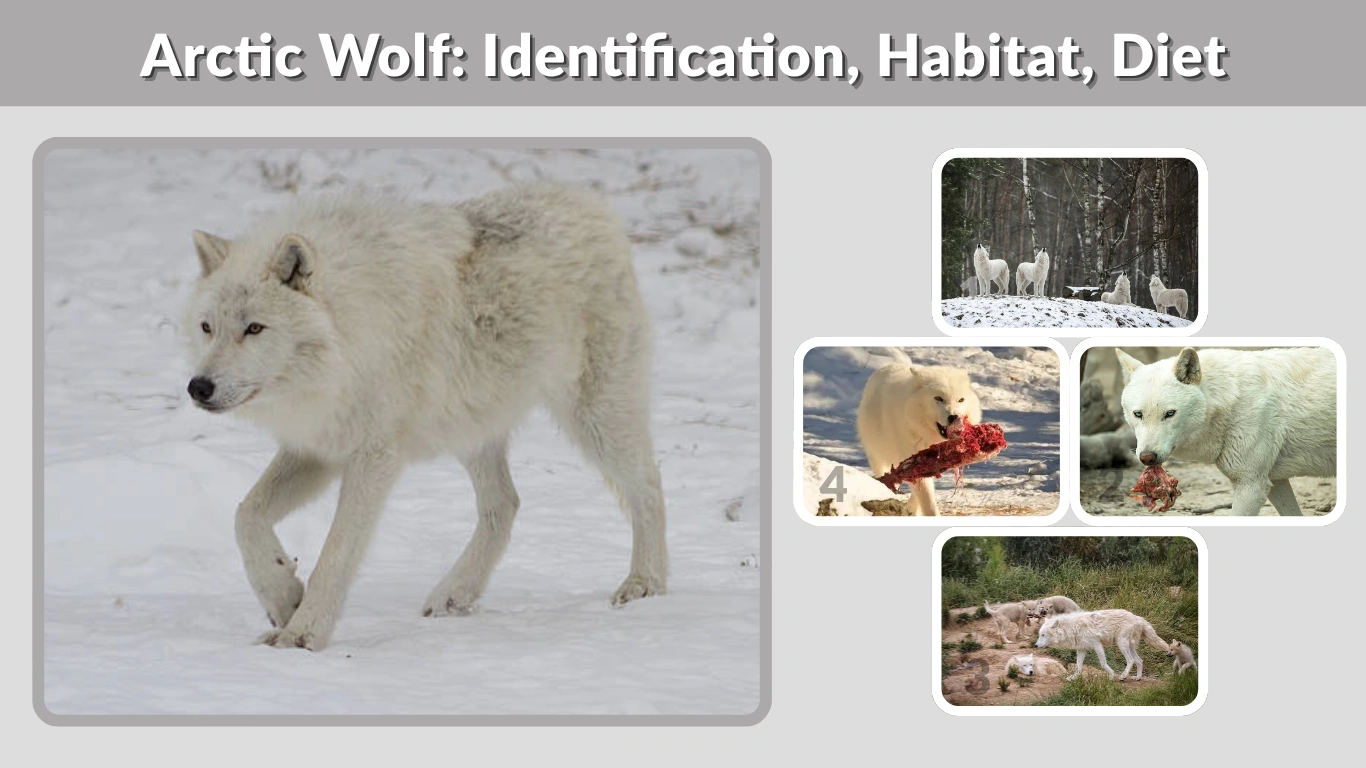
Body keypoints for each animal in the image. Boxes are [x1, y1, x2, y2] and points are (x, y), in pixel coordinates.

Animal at [183, 185, 667, 650]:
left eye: (254, 328)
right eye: (207, 328)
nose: (198, 387)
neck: (348, 335)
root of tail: (591, 203)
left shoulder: (373, 456)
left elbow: (336, 554)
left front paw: (303, 634)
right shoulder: (317, 448)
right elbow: (246, 515)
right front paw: (284, 597)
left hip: (595, 418)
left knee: (647, 485)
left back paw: (646, 583)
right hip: (472, 429)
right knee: (505, 503)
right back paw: (455, 594)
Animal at [855, 362, 983, 515]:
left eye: (961, 400)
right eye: (938, 398)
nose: (954, 417)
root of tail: (891, 364)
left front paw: (911, 509)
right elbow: (928, 501)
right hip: (877, 456)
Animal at [1035, 609, 1167, 681]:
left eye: (1043, 635)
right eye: (1039, 635)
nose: (1035, 646)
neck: (1072, 628)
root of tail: (1139, 618)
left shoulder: (1097, 644)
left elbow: (1103, 663)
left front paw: (1112, 675)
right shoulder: (1082, 649)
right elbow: (1078, 666)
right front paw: (1073, 678)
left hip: (1121, 644)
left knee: (1131, 660)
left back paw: (1123, 676)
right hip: (1129, 646)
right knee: (1139, 660)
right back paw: (1138, 677)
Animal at [1117, 346, 1337, 516]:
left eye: (1170, 413)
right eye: (1138, 414)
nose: (1147, 457)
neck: (1229, 402)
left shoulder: (1251, 485)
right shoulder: (1274, 481)